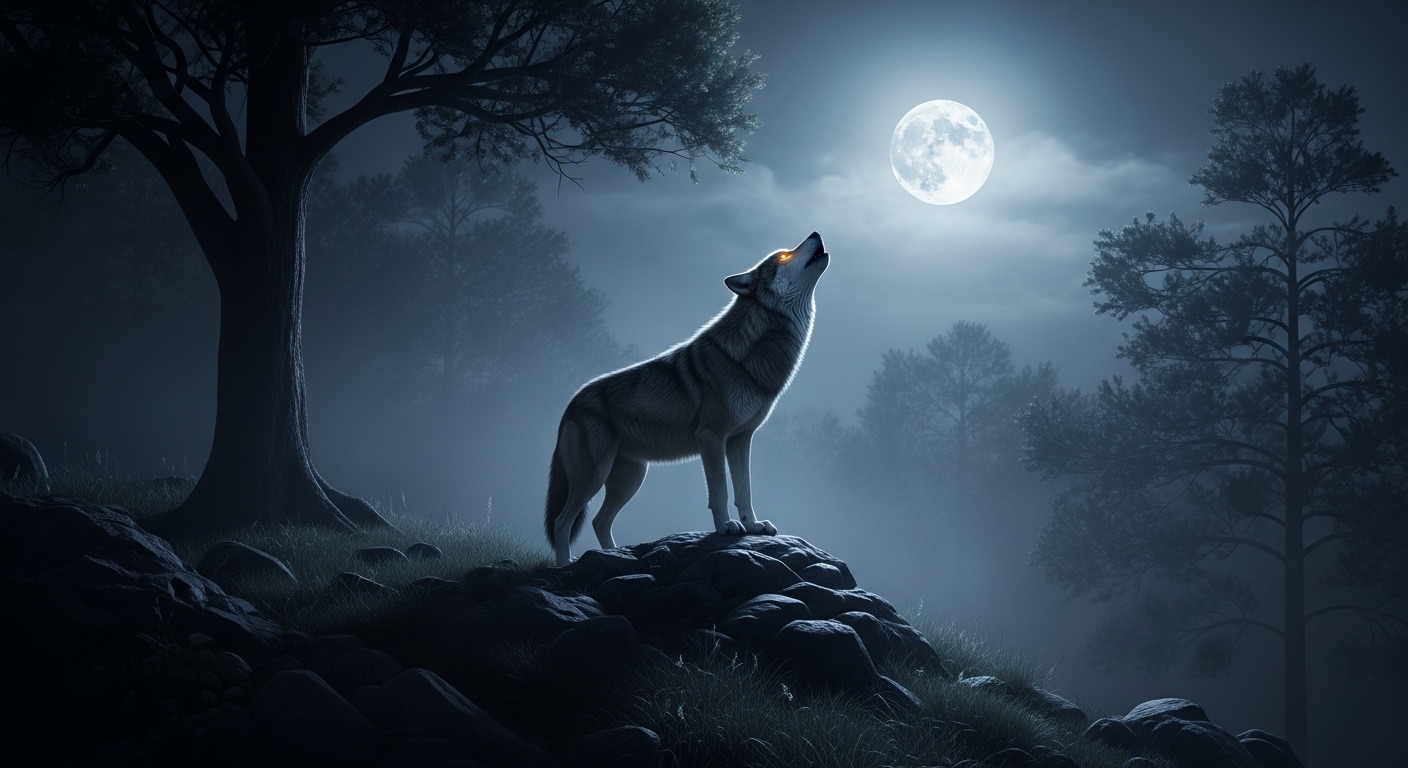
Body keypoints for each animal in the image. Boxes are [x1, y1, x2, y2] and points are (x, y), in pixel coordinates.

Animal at [544, 232, 830, 565]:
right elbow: (720, 491)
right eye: (784, 256)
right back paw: (566, 565)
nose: (815, 234)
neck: (748, 356)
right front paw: (726, 527)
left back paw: (616, 556)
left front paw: (753, 526)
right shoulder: (711, 437)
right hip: (594, 477)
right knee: (562, 522)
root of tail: (570, 405)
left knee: (598, 521)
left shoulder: (740, 439)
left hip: (630, 479)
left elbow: (744, 490)